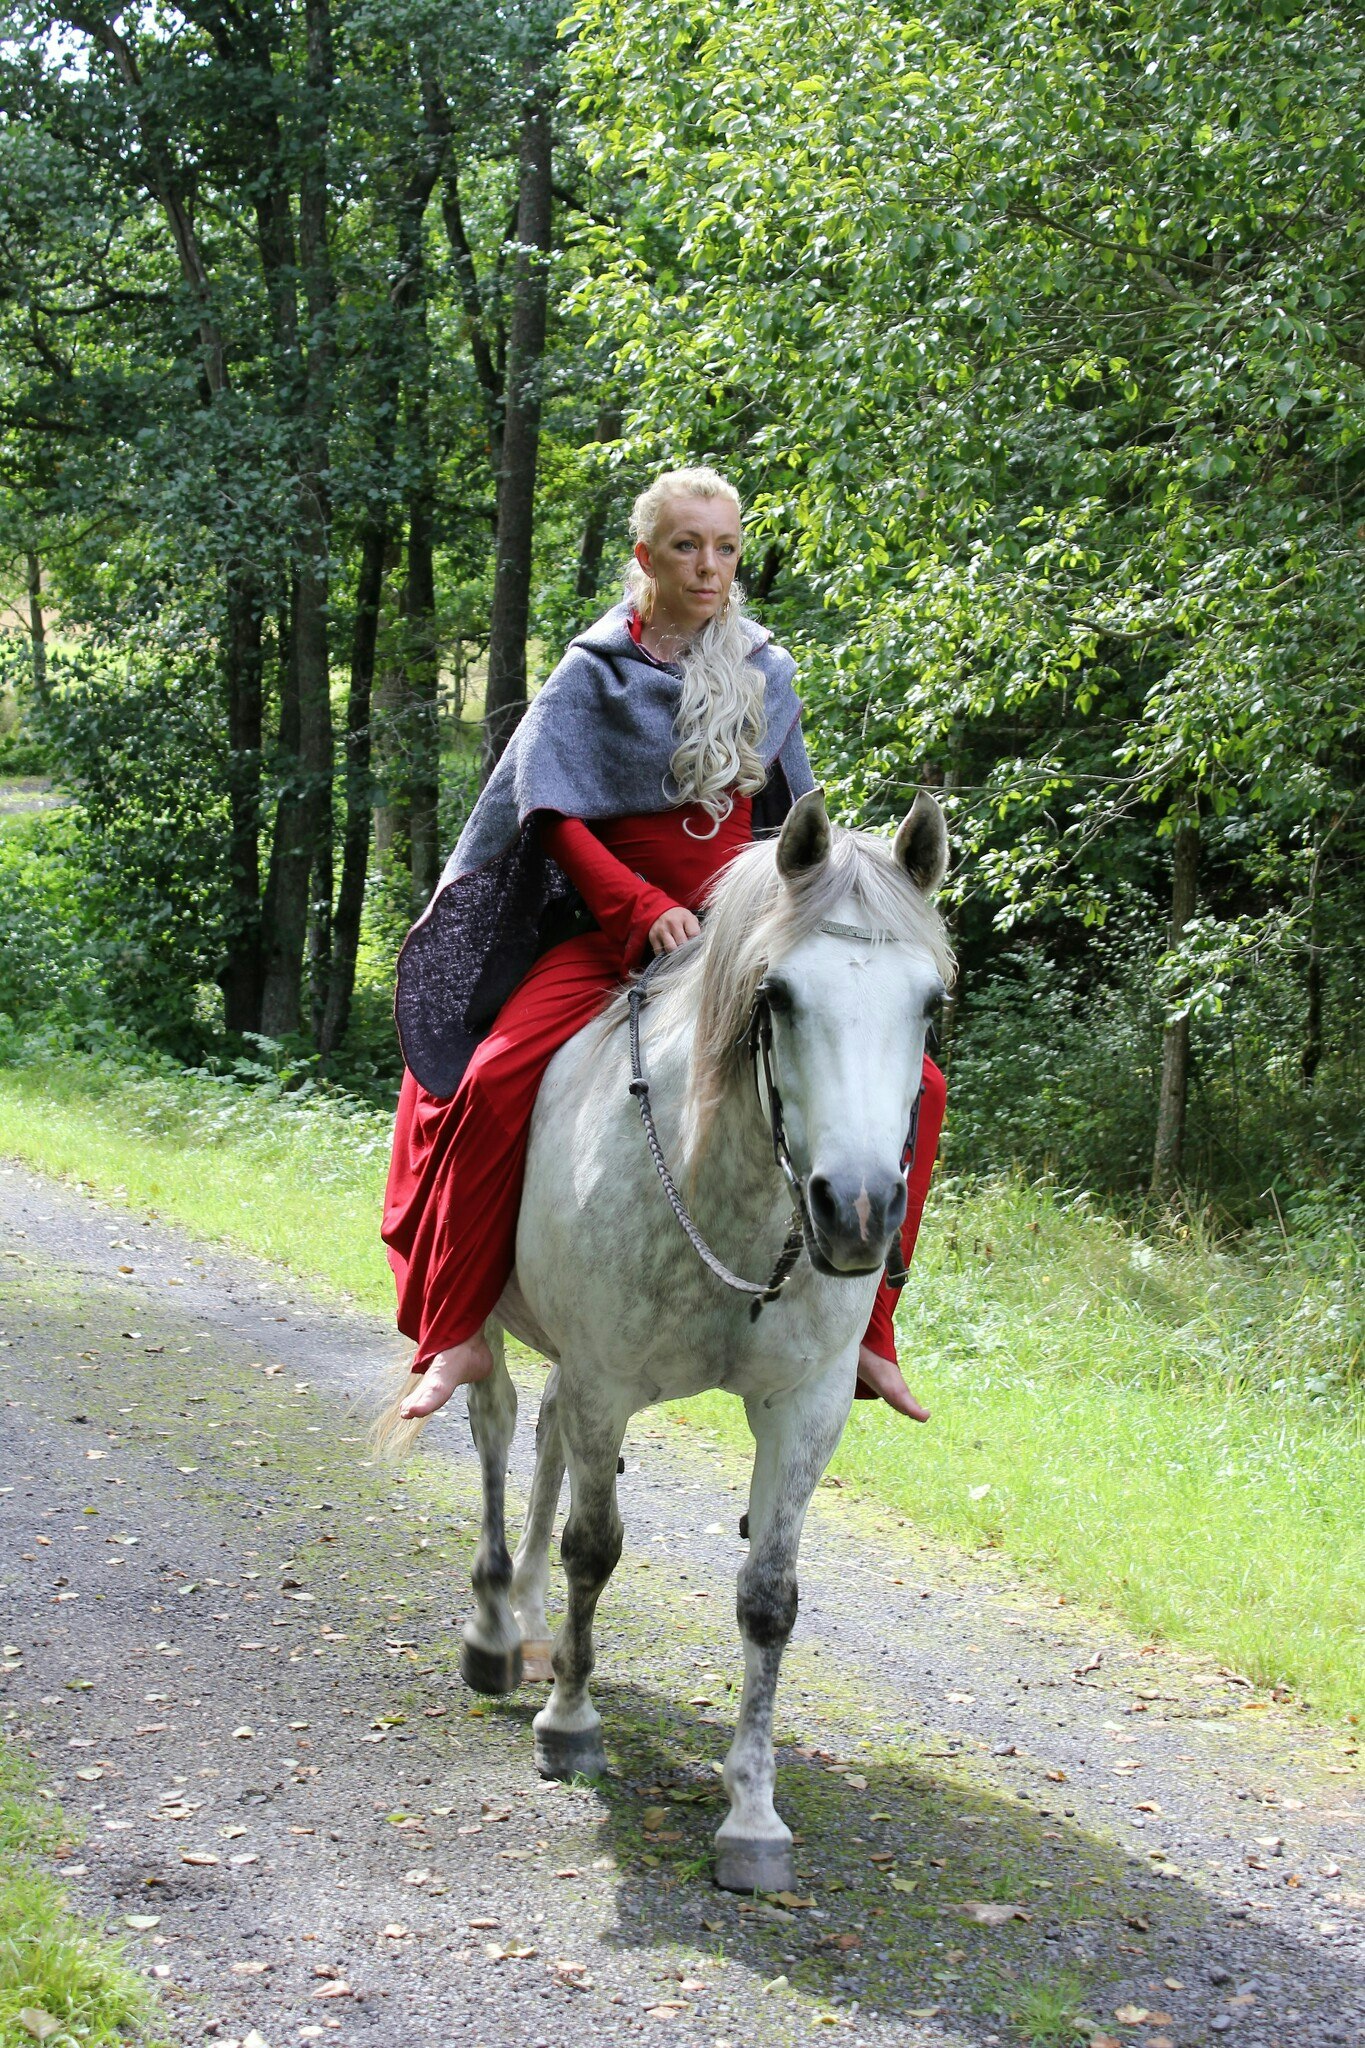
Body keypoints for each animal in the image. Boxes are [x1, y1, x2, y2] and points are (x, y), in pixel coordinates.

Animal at [374, 786, 949, 1884]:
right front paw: (570, 1723)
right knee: (498, 1424)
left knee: (546, 1437)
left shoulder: (804, 1405)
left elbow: (768, 1597)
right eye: (779, 995)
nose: (856, 1211)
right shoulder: (608, 1376)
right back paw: (499, 1625)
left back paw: (530, 1614)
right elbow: (596, 1546)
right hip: (495, 1319)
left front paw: (753, 1813)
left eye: (930, 1003)